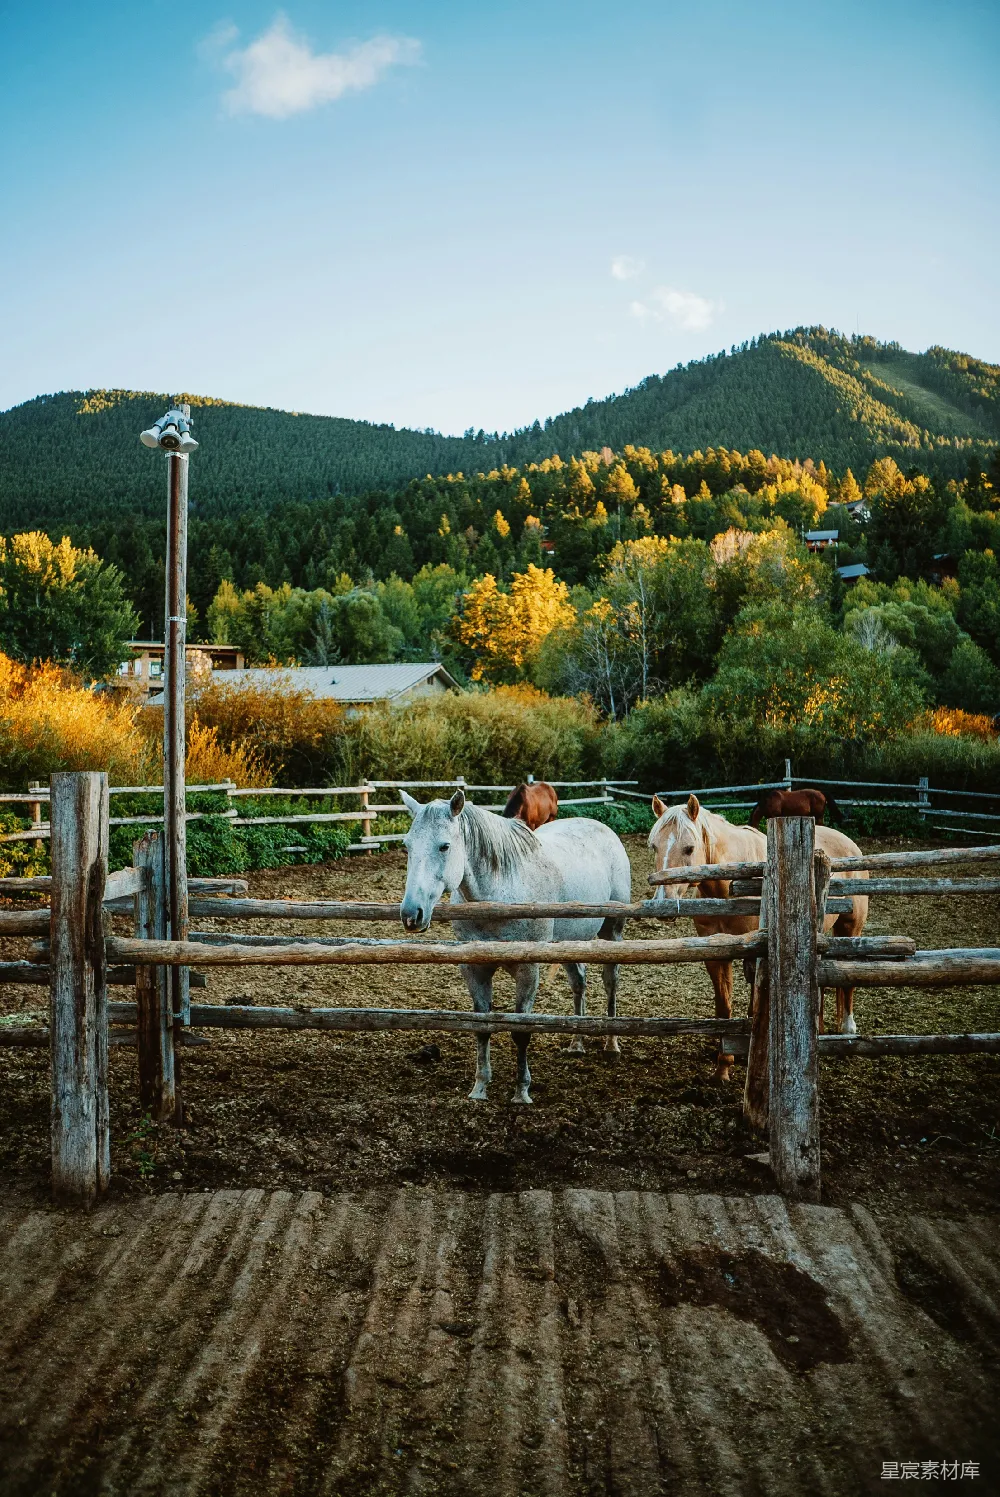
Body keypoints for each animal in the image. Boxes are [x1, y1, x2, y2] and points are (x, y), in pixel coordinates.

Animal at [399, 788, 631, 1103]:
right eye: (407, 846)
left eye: (444, 846)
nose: (411, 914)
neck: (500, 895)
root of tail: (603, 829)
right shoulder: (474, 969)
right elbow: (481, 1027)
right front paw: (480, 1087)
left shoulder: (527, 970)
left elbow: (521, 1031)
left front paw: (522, 1091)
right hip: (567, 943)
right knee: (579, 982)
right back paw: (577, 1042)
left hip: (612, 934)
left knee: (610, 983)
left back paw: (611, 1044)